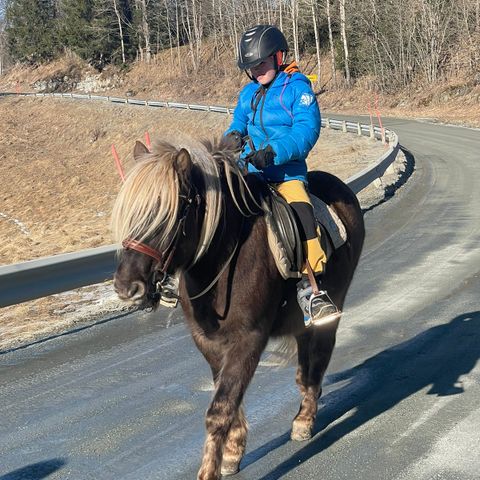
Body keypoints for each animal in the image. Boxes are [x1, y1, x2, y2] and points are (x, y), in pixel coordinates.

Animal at [111, 136, 364, 480]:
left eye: (169, 215)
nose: (127, 287)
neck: (221, 259)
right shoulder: (209, 342)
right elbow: (229, 396)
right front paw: (232, 451)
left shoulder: (249, 339)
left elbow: (220, 408)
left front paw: (210, 471)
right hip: (300, 324)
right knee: (305, 366)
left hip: (332, 306)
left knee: (317, 361)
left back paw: (304, 419)